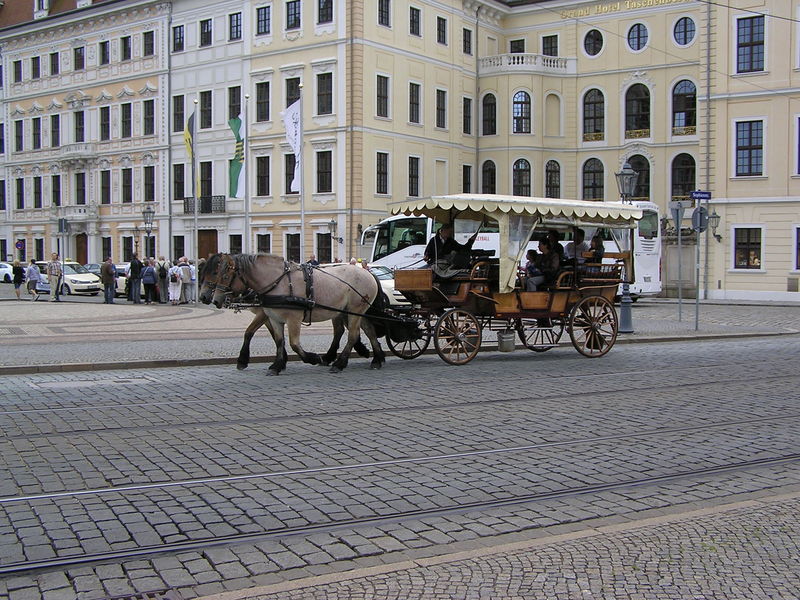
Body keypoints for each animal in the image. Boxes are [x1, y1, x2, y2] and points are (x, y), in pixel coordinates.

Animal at [200, 254, 388, 376]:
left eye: (223, 275)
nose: (212, 299)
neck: (278, 282)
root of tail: (368, 272)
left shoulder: (293, 319)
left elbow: (294, 343)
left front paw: (312, 358)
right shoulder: (273, 317)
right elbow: (278, 340)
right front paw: (277, 365)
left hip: (355, 311)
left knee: (352, 334)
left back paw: (339, 363)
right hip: (354, 311)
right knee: (367, 331)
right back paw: (376, 359)